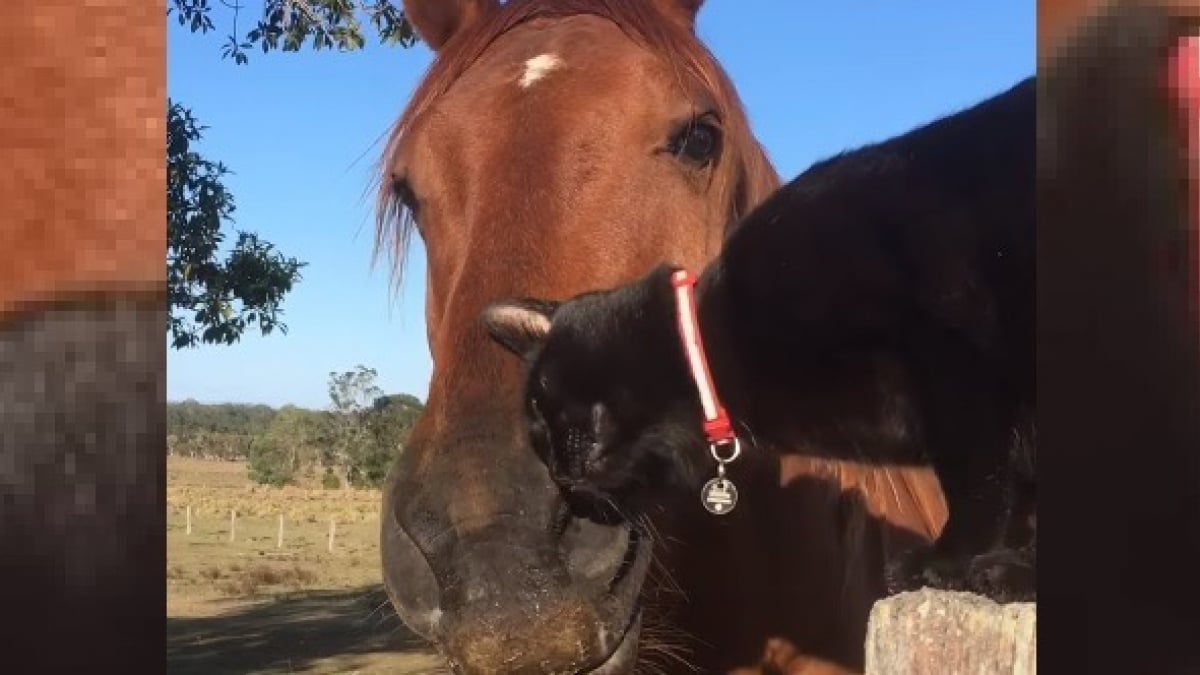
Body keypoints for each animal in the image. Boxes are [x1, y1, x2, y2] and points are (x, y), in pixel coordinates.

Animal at [482, 76, 1036, 595]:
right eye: (538, 434)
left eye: (538, 407)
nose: (558, 470)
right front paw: (1010, 569)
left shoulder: (950, 353)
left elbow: (977, 480)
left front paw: (949, 562)